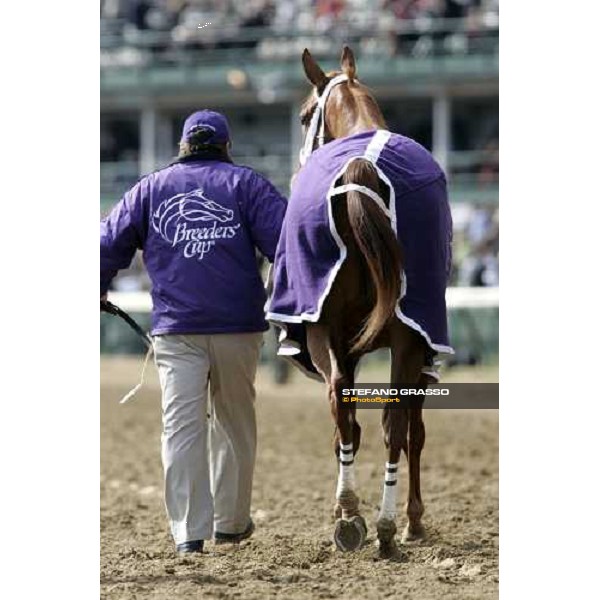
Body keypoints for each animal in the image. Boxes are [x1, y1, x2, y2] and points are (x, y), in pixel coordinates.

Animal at [298, 48, 436, 556]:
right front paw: (409, 519)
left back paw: (357, 516)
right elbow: (400, 427)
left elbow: (355, 422)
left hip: (328, 330)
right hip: (403, 337)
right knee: (392, 420)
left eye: (305, 116)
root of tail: (362, 167)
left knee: (348, 405)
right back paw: (382, 523)